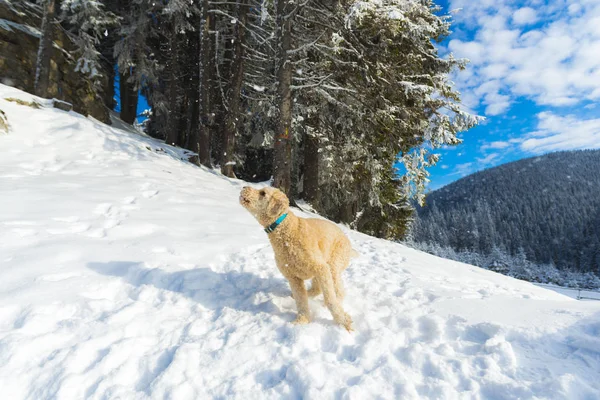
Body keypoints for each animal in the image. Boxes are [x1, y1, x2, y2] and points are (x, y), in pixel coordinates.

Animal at [239, 186, 356, 330]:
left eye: (263, 193)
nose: (244, 187)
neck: (287, 232)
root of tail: (347, 240)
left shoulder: (321, 268)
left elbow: (330, 299)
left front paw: (343, 321)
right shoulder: (294, 277)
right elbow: (301, 302)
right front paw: (301, 321)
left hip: (333, 265)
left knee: (338, 292)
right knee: (316, 289)